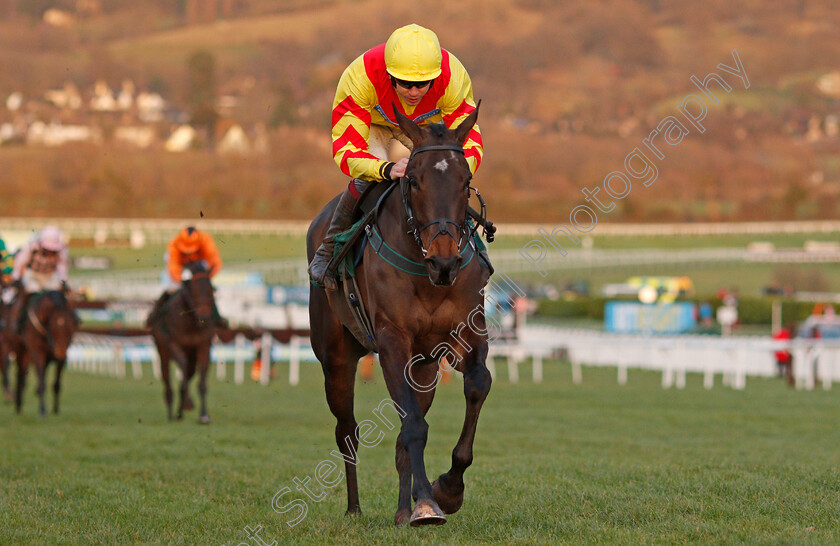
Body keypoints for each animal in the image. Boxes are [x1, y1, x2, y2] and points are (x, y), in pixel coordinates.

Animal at [150, 260, 218, 420]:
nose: (204, 317)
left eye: (211, 289)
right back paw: (171, 412)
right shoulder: (174, 344)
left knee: (188, 373)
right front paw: (188, 403)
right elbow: (183, 365)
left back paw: (180, 411)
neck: (190, 323)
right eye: (192, 289)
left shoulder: (204, 346)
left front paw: (204, 416)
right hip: (162, 351)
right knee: (167, 378)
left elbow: (201, 381)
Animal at [306, 104, 492, 524]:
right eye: (415, 181)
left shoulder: (467, 333)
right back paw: (355, 509)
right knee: (347, 431)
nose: (444, 261)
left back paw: (402, 511)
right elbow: (412, 426)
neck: (428, 276)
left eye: (465, 181)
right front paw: (428, 504)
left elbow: (477, 385)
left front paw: (447, 490)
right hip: (335, 357)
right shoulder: (393, 340)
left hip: (423, 368)